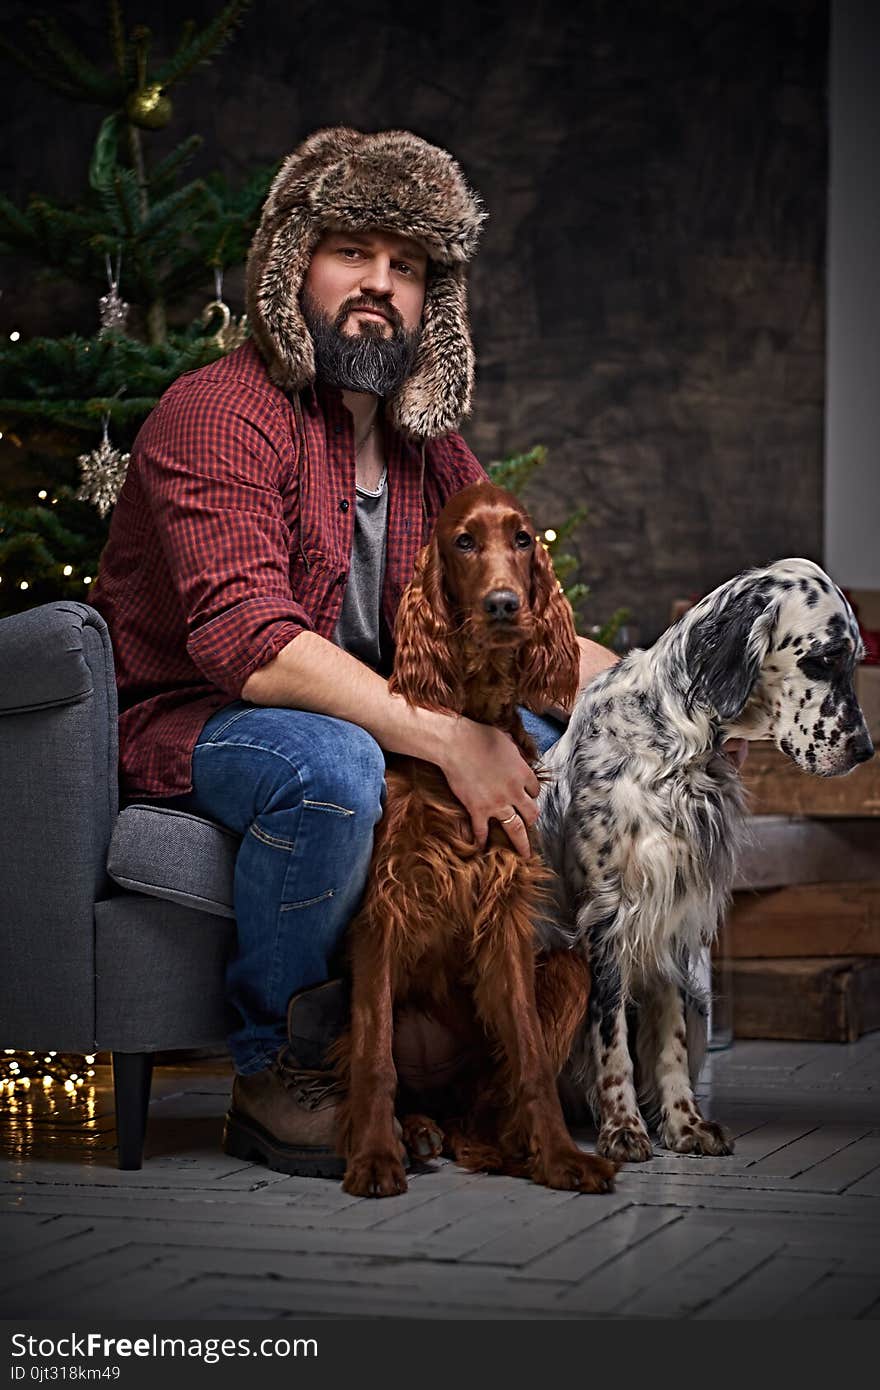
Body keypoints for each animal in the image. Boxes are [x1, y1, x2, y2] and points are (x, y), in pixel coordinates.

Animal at [335, 483, 617, 1200]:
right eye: (463, 542)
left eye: (522, 539)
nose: (503, 604)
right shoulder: (382, 910)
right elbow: (375, 1059)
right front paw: (373, 1156)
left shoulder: (506, 915)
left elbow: (531, 1060)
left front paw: (559, 1156)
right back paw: (412, 1132)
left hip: (568, 971)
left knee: (486, 1108)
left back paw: (499, 1144)